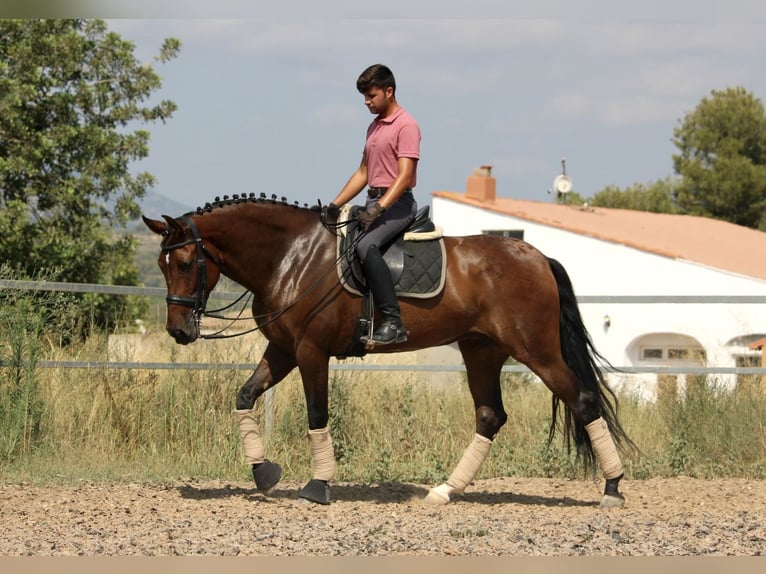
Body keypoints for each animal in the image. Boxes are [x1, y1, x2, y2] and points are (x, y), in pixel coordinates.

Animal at [142, 195, 636, 508]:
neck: (290, 256)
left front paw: (318, 485)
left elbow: (316, 414)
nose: (178, 331)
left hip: (536, 350)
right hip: (482, 351)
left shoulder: (310, 351)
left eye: (184, 262)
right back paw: (444, 491)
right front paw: (264, 473)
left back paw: (612, 488)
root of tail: (536, 256)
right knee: (490, 415)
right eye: (162, 265)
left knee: (582, 400)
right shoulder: (282, 349)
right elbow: (245, 396)